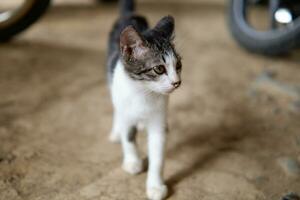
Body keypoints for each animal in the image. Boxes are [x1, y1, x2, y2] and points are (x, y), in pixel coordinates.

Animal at [107, 0, 182, 199]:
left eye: (178, 65)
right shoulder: (126, 111)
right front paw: (133, 162)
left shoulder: (159, 120)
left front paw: (155, 186)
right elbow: (128, 137)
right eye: (159, 69)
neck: (143, 92)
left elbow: (157, 155)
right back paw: (116, 131)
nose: (177, 82)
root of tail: (130, 14)